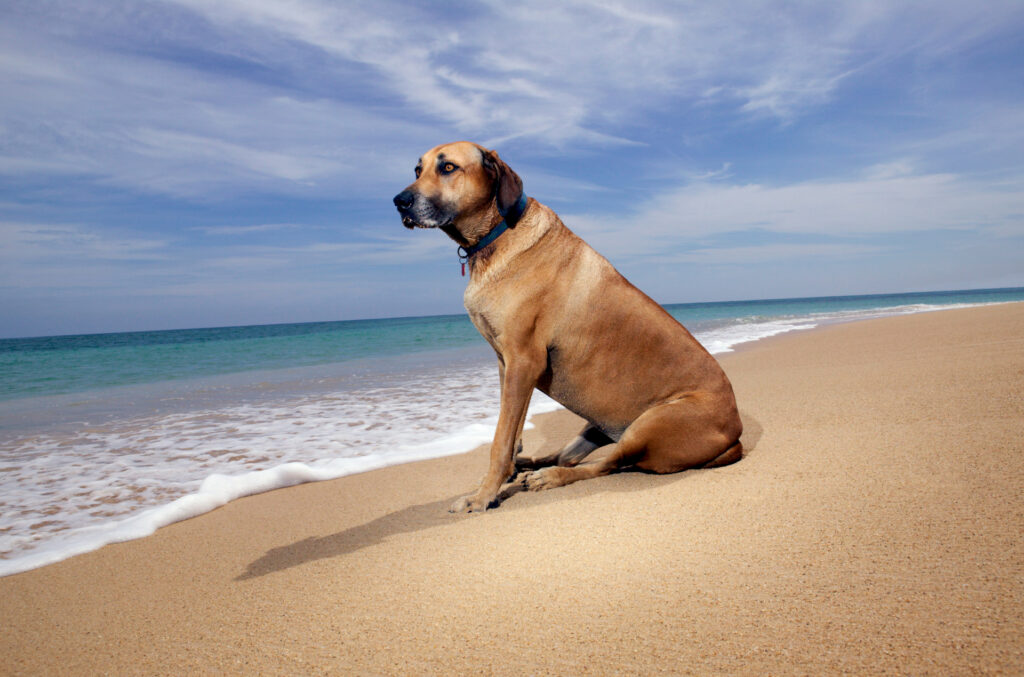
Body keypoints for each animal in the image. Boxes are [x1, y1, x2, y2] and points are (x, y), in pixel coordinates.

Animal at [393, 144, 745, 512]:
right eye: (417, 170)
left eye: (448, 167)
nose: (399, 201)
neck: (498, 235)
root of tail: (735, 433)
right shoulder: (508, 365)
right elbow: (511, 430)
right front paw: (503, 474)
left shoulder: (524, 361)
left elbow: (501, 440)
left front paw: (483, 495)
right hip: (597, 423)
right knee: (568, 456)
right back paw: (531, 465)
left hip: (652, 424)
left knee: (605, 465)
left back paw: (550, 478)